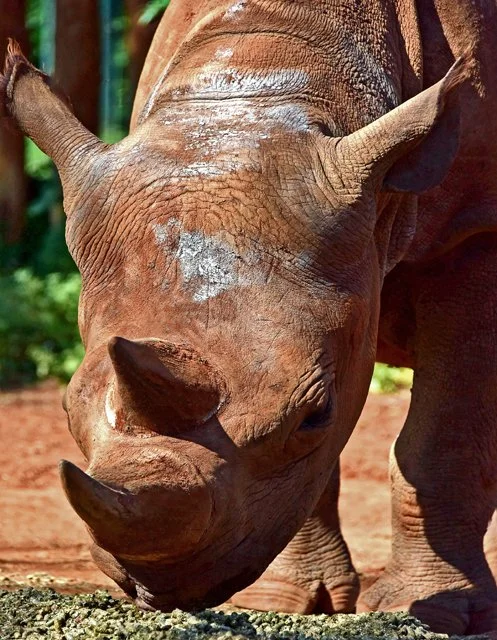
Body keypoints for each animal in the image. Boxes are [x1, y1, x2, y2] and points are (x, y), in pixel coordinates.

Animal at [3, 0, 497, 634]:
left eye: (314, 414)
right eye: (66, 410)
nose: (162, 584)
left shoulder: (475, 236)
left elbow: (441, 441)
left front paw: (437, 612)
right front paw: (283, 604)